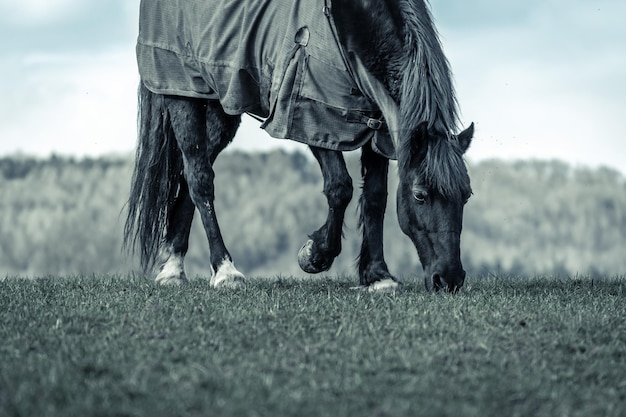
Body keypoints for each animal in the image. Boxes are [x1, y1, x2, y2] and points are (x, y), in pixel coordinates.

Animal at [124, 0, 470, 290]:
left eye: (466, 196)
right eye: (420, 195)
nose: (449, 279)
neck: (350, 23)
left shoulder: (378, 127)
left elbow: (374, 198)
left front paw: (377, 275)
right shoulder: (311, 114)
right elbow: (340, 188)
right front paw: (315, 254)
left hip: (223, 105)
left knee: (189, 175)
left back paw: (172, 267)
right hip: (182, 94)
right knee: (200, 180)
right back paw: (225, 271)